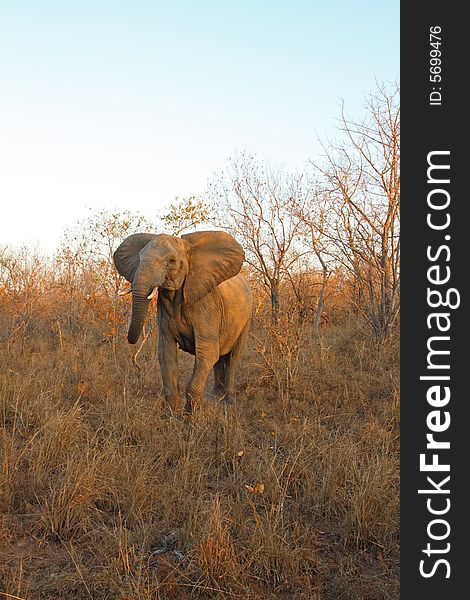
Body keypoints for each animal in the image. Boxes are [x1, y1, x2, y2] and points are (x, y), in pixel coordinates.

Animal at [113, 227, 252, 414]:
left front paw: (191, 415)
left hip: (246, 319)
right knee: (219, 358)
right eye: (139, 258)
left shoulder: (207, 306)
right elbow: (166, 352)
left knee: (232, 358)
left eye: (171, 261)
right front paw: (172, 414)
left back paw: (228, 401)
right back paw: (216, 396)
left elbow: (207, 352)